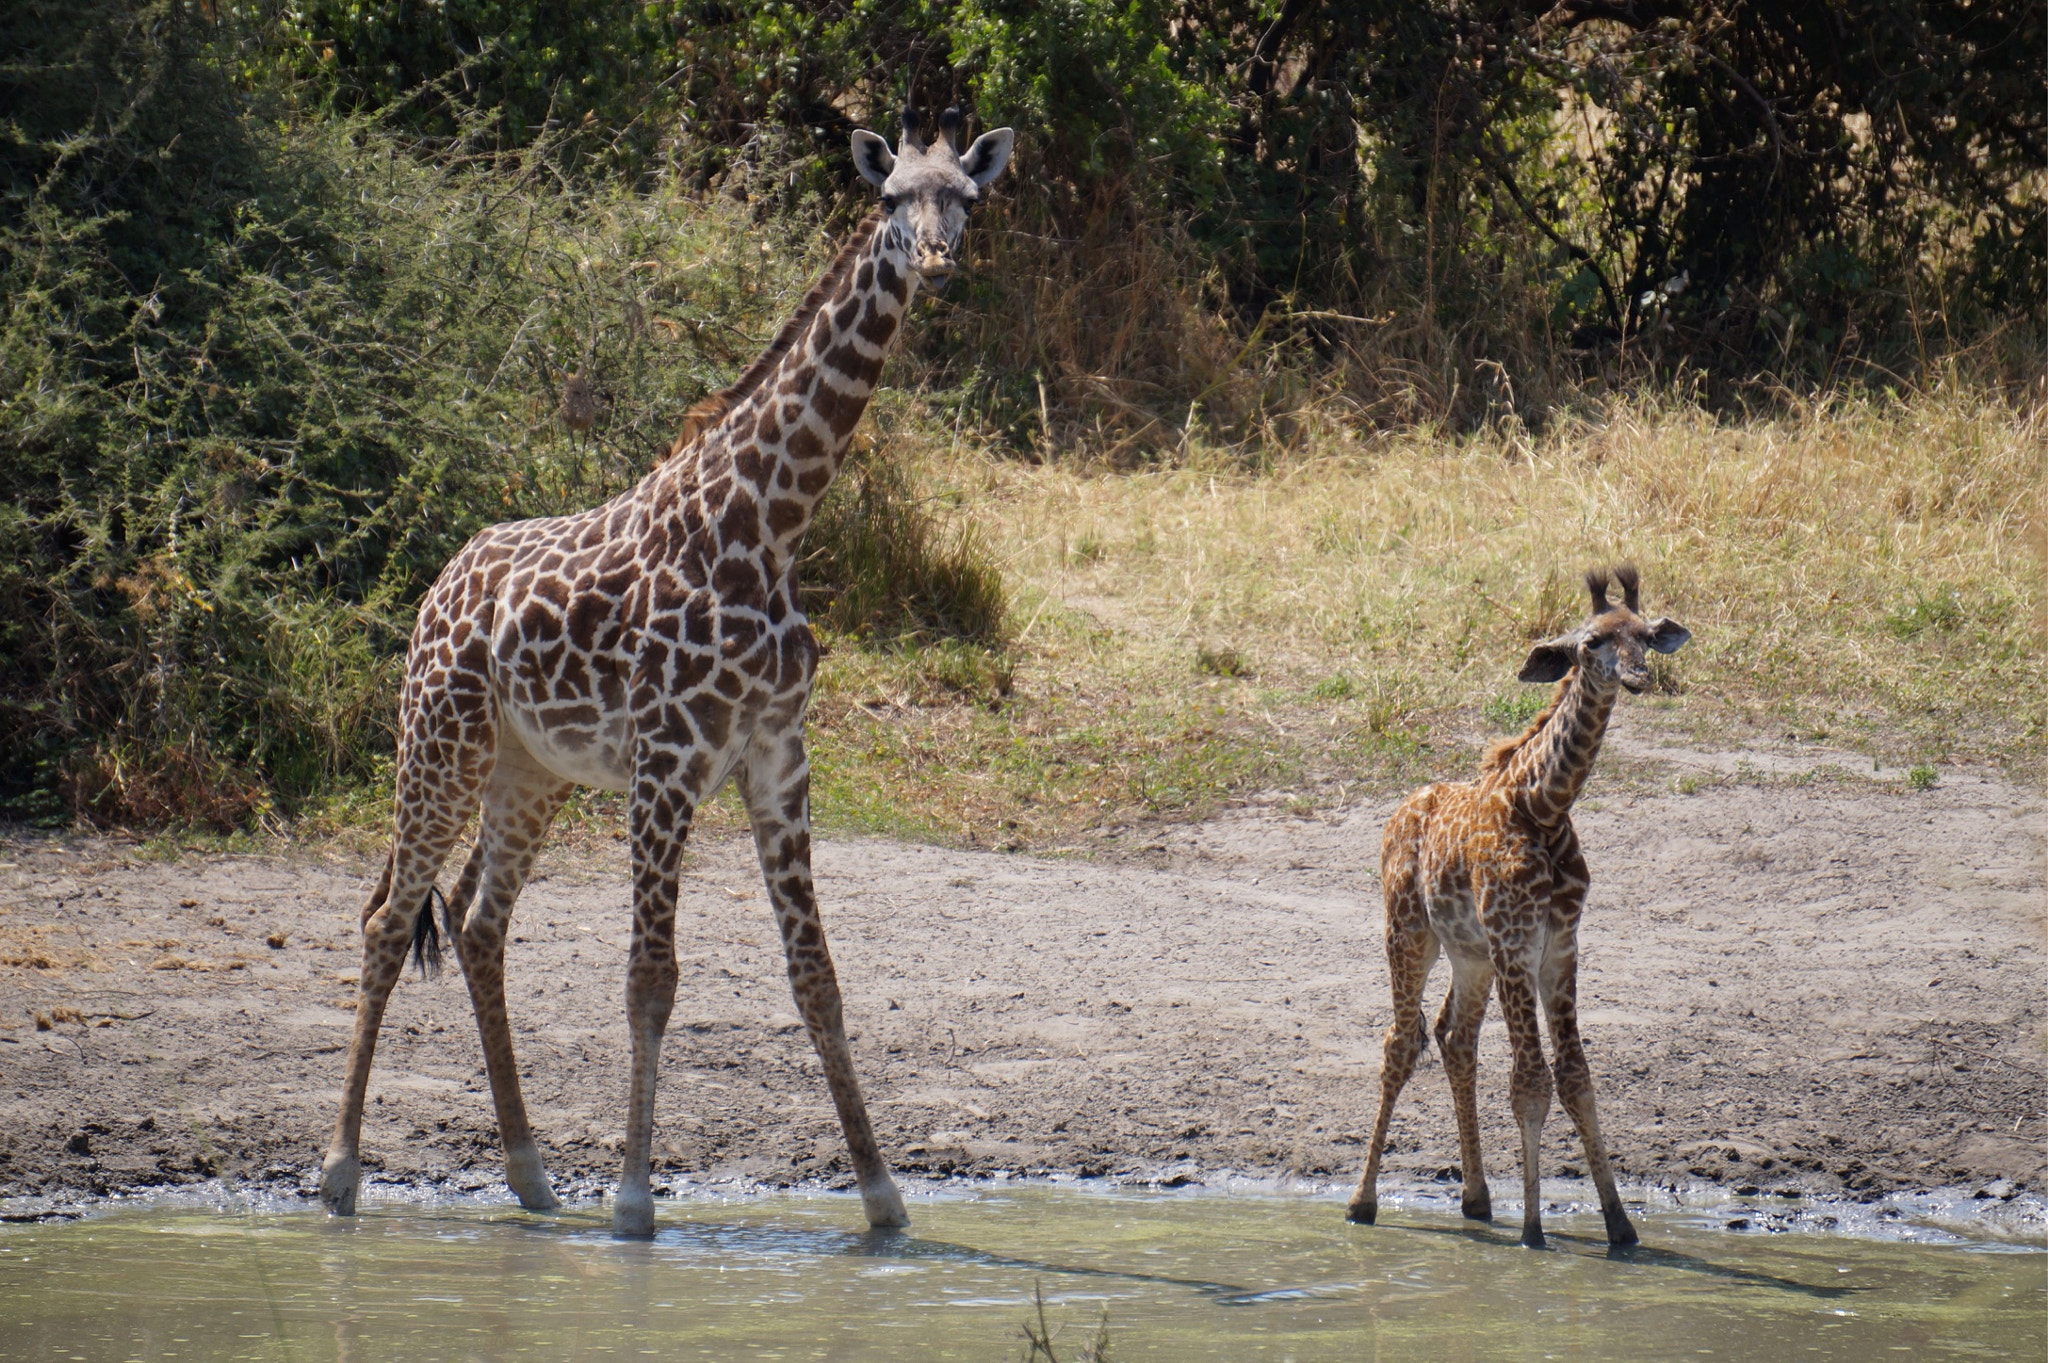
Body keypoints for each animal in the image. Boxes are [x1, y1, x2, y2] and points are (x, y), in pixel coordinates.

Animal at [319, 108, 1015, 1227]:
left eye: (966, 198)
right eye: (887, 197)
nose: (939, 262)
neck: (773, 525)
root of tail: (438, 588)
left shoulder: (777, 753)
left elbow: (816, 977)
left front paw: (883, 1203)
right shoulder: (671, 754)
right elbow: (651, 977)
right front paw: (636, 1202)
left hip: (532, 771)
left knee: (476, 921)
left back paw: (530, 1174)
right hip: (438, 742)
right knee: (389, 919)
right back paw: (341, 1170)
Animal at [1343, 560, 1679, 1244]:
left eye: (1643, 635)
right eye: (1591, 642)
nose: (1637, 677)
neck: (1542, 808)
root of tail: (1398, 811)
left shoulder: (1560, 946)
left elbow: (1575, 1077)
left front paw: (1619, 1226)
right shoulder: (1515, 942)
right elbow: (1530, 1080)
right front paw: (1533, 1231)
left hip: (1468, 955)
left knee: (1452, 1037)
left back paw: (1476, 1197)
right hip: (1408, 932)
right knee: (1400, 1041)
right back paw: (1363, 1201)